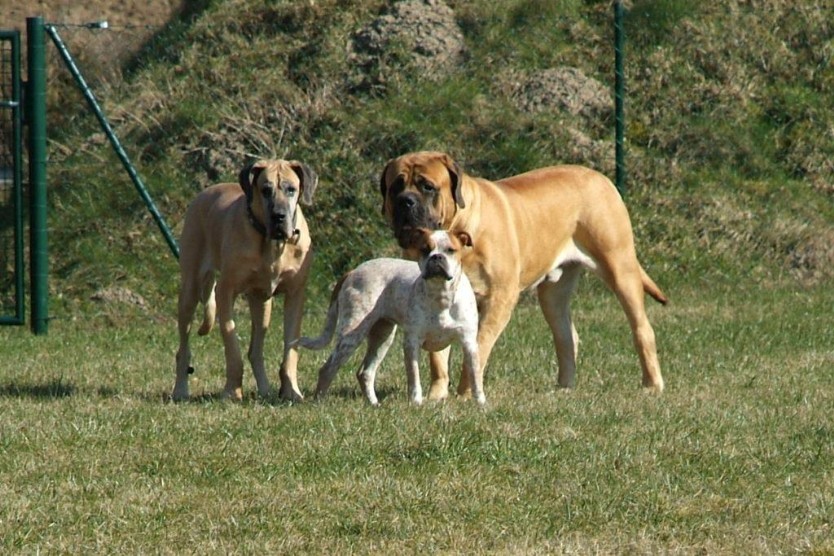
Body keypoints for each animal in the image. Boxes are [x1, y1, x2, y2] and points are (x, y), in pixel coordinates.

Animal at [298, 228, 480, 406]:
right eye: (425, 249)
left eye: (451, 250)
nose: (436, 257)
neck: (441, 296)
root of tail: (353, 271)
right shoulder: (412, 343)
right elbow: (414, 378)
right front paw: (416, 403)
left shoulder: (469, 343)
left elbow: (475, 377)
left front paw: (480, 404)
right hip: (351, 336)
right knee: (328, 369)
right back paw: (319, 402)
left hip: (382, 337)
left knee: (365, 372)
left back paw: (374, 404)